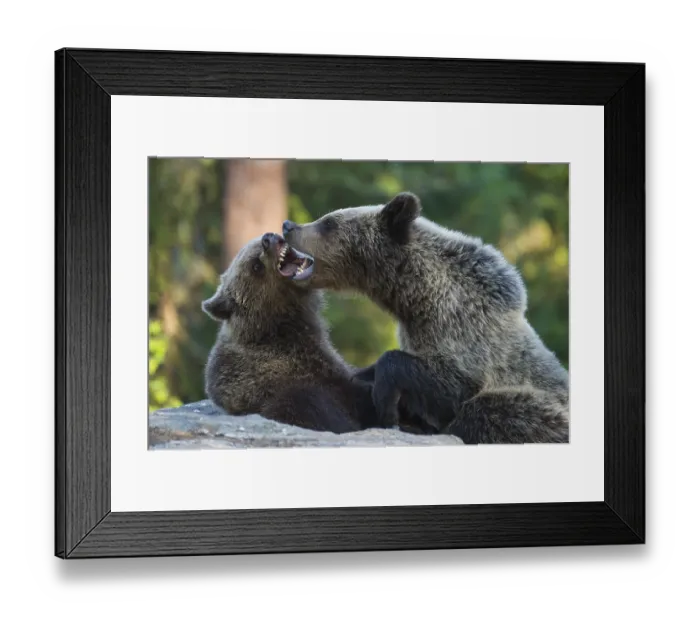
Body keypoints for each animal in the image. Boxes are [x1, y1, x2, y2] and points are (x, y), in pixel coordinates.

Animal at [282, 192, 570, 444]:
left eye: (328, 222)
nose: (288, 225)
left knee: (492, 412)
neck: (418, 300)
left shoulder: (467, 337)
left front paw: (387, 404)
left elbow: (445, 385)